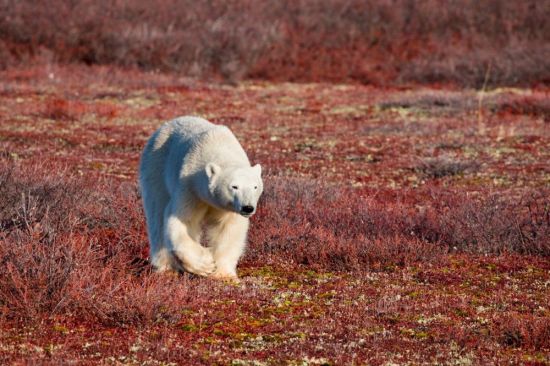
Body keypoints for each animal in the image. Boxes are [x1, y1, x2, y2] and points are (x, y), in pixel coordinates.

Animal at [140, 116, 266, 278]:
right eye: (234, 186)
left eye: (255, 187)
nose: (248, 208)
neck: (219, 147)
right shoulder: (190, 189)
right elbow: (183, 221)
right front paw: (205, 264)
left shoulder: (229, 208)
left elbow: (229, 229)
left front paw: (223, 274)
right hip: (156, 166)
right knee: (157, 213)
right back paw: (165, 267)